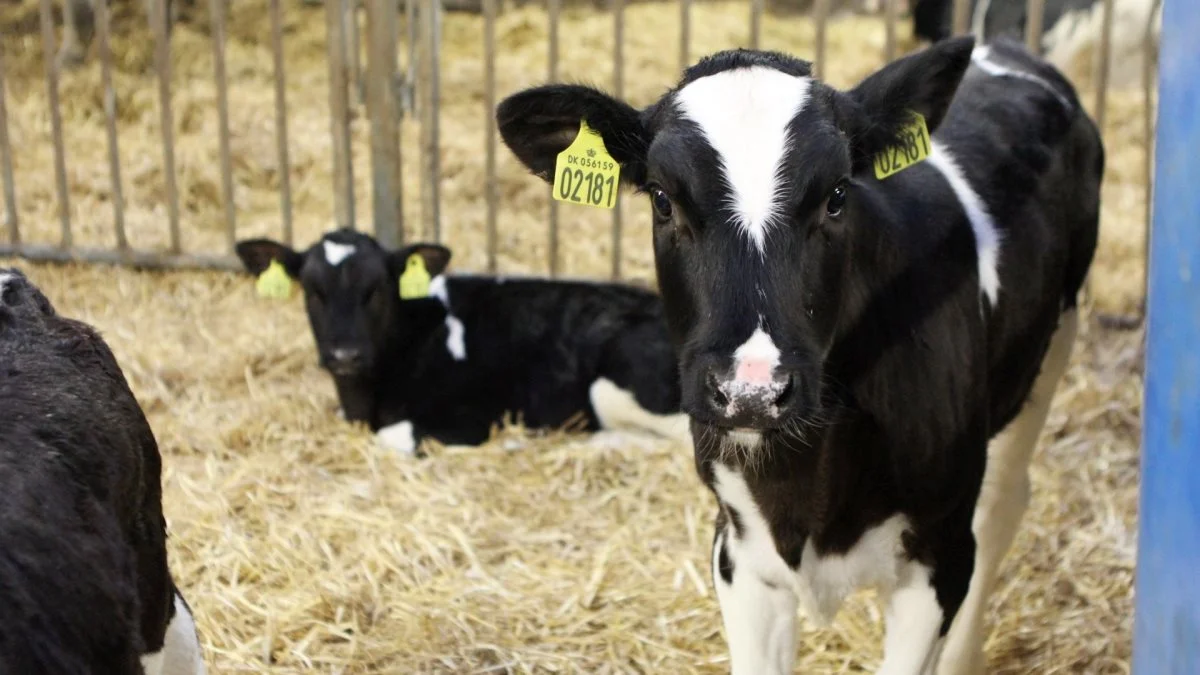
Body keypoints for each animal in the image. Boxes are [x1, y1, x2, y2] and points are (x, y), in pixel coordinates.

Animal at [499, 35, 1104, 672]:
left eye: (837, 196)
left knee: (1002, 505)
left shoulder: (937, 553)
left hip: (1050, 351)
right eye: (663, 201)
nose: (752, 390)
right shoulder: (738, 550)